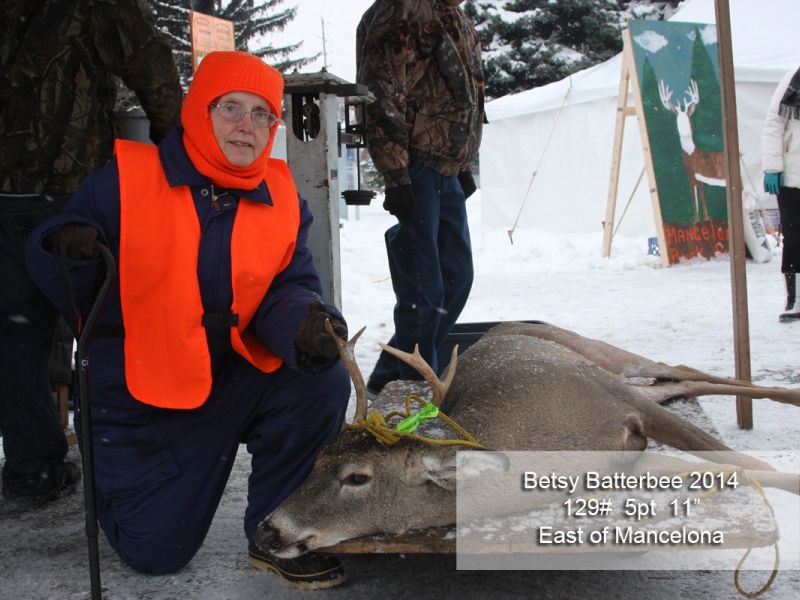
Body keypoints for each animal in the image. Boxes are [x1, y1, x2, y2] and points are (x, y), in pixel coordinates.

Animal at [258, 322, 800, 560]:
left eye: (358, 477)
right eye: (316, 458)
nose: (269, 530)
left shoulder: (619, 401)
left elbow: (754, 463)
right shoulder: (626, 455)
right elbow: (736, 467)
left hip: (600, 358)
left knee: (674, 367)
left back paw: (790, 395)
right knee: (678, 379)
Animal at [660, 77, 728, 223]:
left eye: (688, 119)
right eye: (677, 120)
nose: (684, 132)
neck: (692, 154)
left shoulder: (693, 175)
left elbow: (697, 197)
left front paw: (703, 220)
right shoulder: (694, 177)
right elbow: (697, 198)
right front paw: (700, 221)